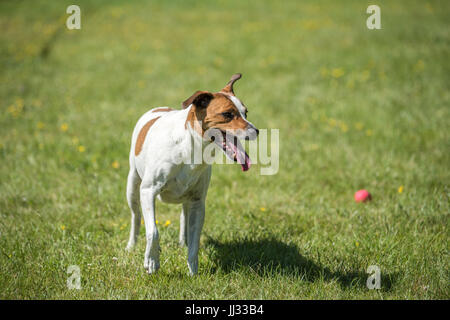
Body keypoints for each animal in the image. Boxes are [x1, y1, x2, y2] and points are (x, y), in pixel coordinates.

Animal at [125, 74, 258, 276]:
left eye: (245, 113)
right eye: (227, 114)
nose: (256, 131)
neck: (190, 148)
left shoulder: (197, 201)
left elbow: (195, 240)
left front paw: (193, 272)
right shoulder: (148, 192)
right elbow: (153, 231)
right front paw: (151, 261)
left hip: (186, 198)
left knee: (184, 215)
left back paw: (183, 242)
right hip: (133, 186)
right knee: (136, 216)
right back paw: (132, 245)